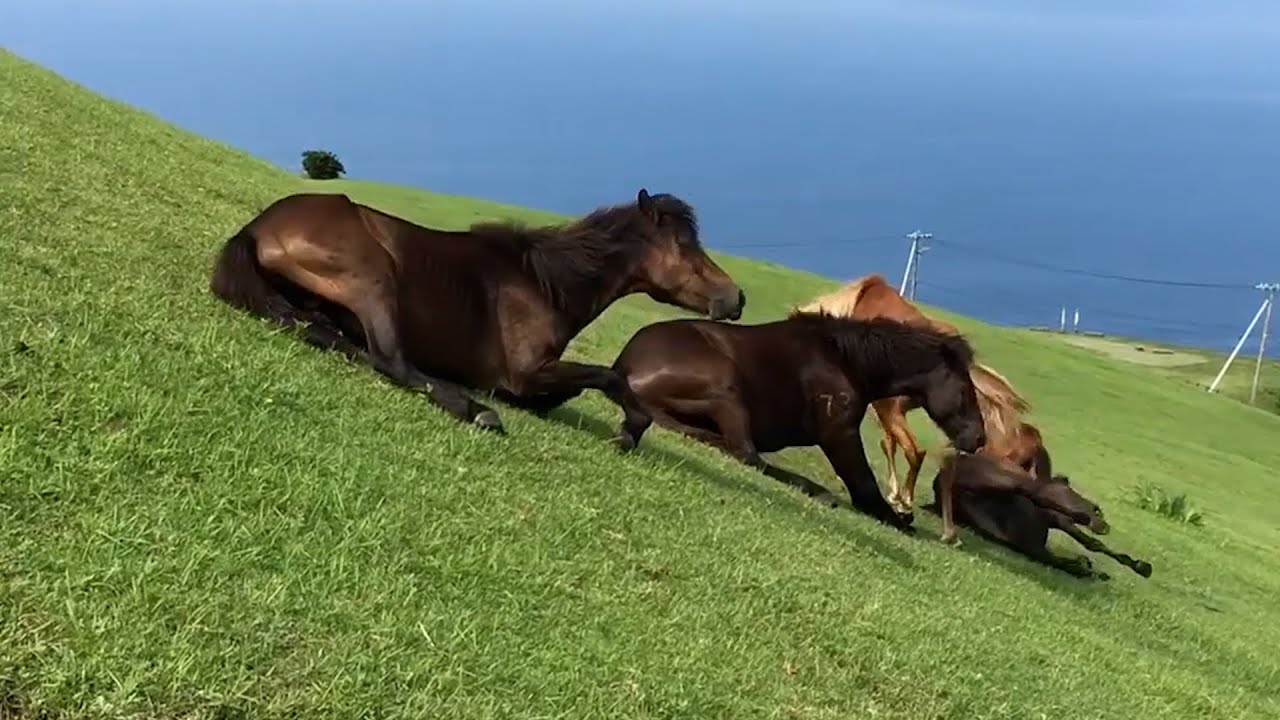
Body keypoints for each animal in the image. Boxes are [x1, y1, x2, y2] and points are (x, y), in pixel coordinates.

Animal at [206, 188, 747, 443]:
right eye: (685, 247)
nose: (735, 298)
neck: (543, 284)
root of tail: (259, 227)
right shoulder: (523, 375)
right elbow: (609, 376)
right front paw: (631, 429)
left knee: (328, 335)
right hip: (373, 276)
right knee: (389, 360)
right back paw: (474, 411)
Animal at [609, 311, 988, 535]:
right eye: (965, 390)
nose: (979, 438)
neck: (844, 361)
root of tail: (625, 365)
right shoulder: (840, 436)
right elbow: (866, 491)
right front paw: (901, 517)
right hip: (726, 387)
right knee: (747, 454)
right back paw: (816, 490)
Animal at [793, 271, 1044, 535]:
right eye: (1023, 460)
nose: (977, 442)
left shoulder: (890, 408)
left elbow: (895, 446)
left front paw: (898, 500)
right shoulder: (890, 408)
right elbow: (897, 446)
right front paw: (899, 500)